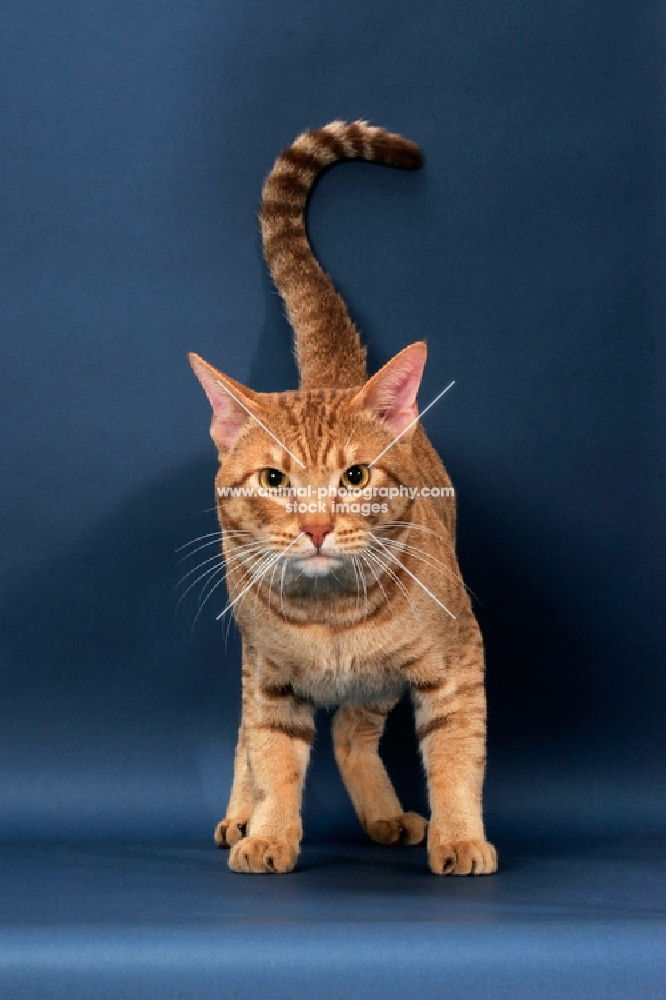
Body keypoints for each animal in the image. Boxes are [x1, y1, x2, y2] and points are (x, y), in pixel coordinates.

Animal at [187, 119, 492, 876]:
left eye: (354, 478)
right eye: (274, 481)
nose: (319, 525)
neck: (330, 620)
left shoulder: (457, 660)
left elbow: (455, 758)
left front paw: (460, 836)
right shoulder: (270, 676)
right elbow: (271, 754)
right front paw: (269, 831)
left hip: (378, 683)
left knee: (354, 733)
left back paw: (384, 814)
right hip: (254, 657)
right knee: (251, 735)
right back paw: (241, 814)